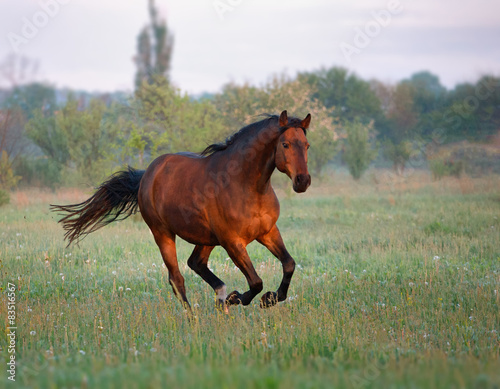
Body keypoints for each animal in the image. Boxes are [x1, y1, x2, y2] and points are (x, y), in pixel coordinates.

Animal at [50, 110, 308, 310]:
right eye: (285, 144)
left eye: (306, 145)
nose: (303, 181)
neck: (246, 185)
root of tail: (147, 174)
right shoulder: (233, 242)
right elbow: (255, 282)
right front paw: (241, 299)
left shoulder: (267, 232)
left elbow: (288, 264)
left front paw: (269, 298)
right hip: (163, 234)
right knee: (177, 278)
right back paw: (196, 315)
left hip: (206, 238)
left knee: (196, 263)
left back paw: (221, 297)